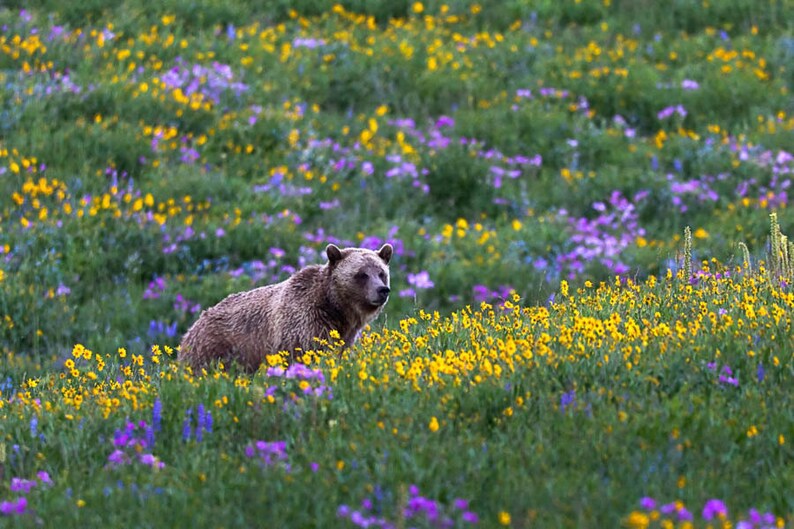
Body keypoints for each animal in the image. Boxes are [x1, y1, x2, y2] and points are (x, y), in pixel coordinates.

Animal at [177, 243, 393, 372]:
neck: (336, 308)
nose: (382, 290)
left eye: (381, 273)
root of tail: (194, 325)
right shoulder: (304, 324)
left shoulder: (343, 334)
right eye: (362, 274)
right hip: (214, 347)